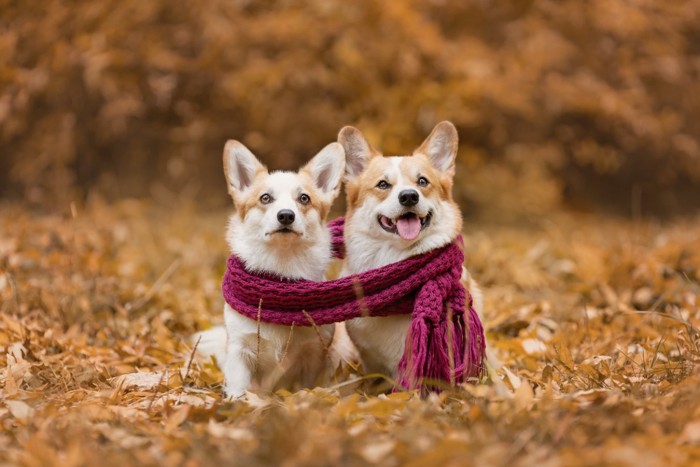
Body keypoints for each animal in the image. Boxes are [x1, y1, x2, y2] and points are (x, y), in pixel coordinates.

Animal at [196, 139, 346, 398]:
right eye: (265, 198)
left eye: (304, 199)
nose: (286, 215)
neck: (280, 268)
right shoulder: (240, 352)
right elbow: (238, 388)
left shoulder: (313, 356)